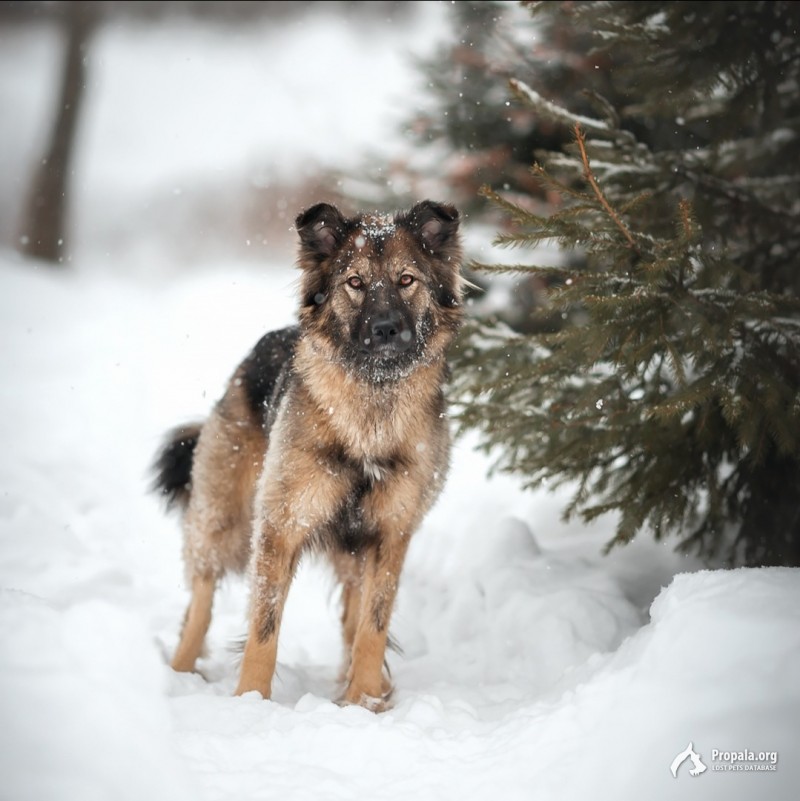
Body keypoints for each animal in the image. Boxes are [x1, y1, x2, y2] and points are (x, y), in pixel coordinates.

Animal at [152, 198, 462, 708]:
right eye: (354, 282)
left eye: (406, 280)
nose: (387, 329)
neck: (370, 412)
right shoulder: (280, 527)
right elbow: (264, 628)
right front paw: (251, 702)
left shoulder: (391, 534)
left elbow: (373, 627)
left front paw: (364, 702)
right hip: (223, 518)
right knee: (200, 599)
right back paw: (179, 671)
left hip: (353, 551)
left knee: (352, 617)